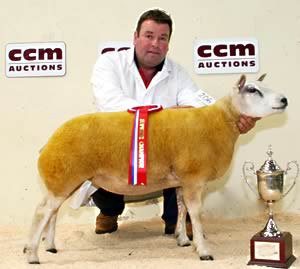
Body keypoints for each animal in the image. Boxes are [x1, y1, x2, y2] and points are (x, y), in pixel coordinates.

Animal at [24, 74, 288, 262]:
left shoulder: (183, 180)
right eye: (252, 90)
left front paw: (182, 239)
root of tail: (49, 143)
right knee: (42, 211)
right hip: (63, 177)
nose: (284, 100)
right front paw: (203, 250)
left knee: (52, 212)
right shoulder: (194, 178)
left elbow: (182, 209)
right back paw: (32, 254)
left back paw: (49, 246)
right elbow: (196, 212)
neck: (219, 122)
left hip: (64, 180)